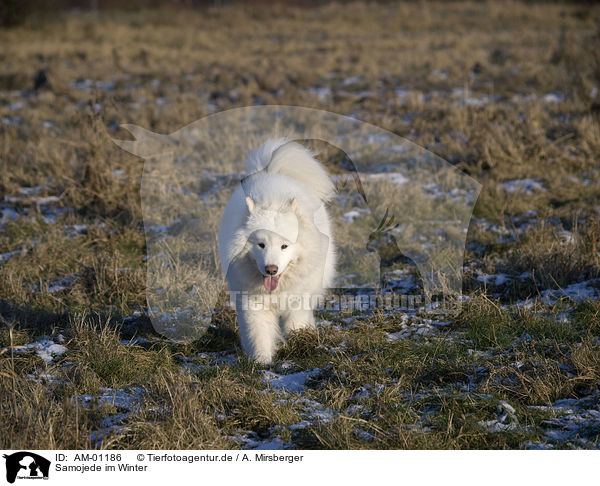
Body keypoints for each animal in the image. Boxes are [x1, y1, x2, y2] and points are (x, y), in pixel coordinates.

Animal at [218, 139, 336, 362]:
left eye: (284, 246)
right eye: (261, 245)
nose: (271, 269)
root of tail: (272, 171)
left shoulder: (297, 303)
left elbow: (295, 326)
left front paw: (300, 346)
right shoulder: (252, 304)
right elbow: (259, 333)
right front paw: (261, 362)